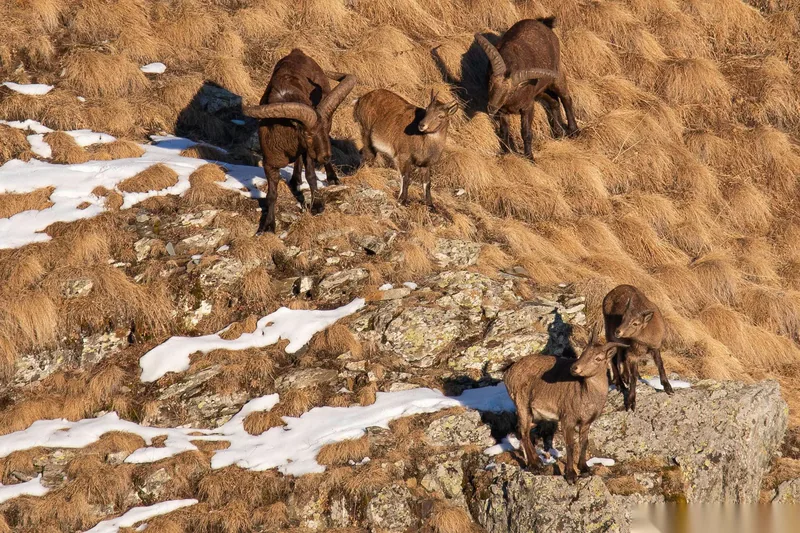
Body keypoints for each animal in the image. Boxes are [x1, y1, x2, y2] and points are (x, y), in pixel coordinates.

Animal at [244, 49, 356, 233]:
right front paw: (268, 225)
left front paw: (317, 206)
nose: (325, 156)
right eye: (307, 134)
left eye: (325, 131)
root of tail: (297, 52)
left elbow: (311, 176)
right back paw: (295, 180)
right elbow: (272, 194)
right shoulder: (269, 162)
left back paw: (332, 178)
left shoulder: (308, 151)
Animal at [474, 17, 577, 161]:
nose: (491, 108)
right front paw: (506, 153)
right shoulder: (503, 110)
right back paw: (558, 133)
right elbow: (504, 131)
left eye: (512, 90)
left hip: (557, 76)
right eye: (490, 82)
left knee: (566, 98)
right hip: (540, 90)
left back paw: (574, 131)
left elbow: (526, 133)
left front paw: (529, 157)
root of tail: (545, 24)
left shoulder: (527, 106)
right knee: (554, 102)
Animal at [505, 328, 627, 483]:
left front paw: (584, 468)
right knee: (524, 432)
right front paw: (571, 475)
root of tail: (509, 372)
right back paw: (535, 465)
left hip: (533, 414)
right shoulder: (567, 419)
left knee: (520, 430)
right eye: (584, 352)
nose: (574, 368)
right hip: (522, 404)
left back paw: (535, 461)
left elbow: (584, 442)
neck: (585, 392)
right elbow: (570, 445)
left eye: (598, 358)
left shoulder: (586, 422)